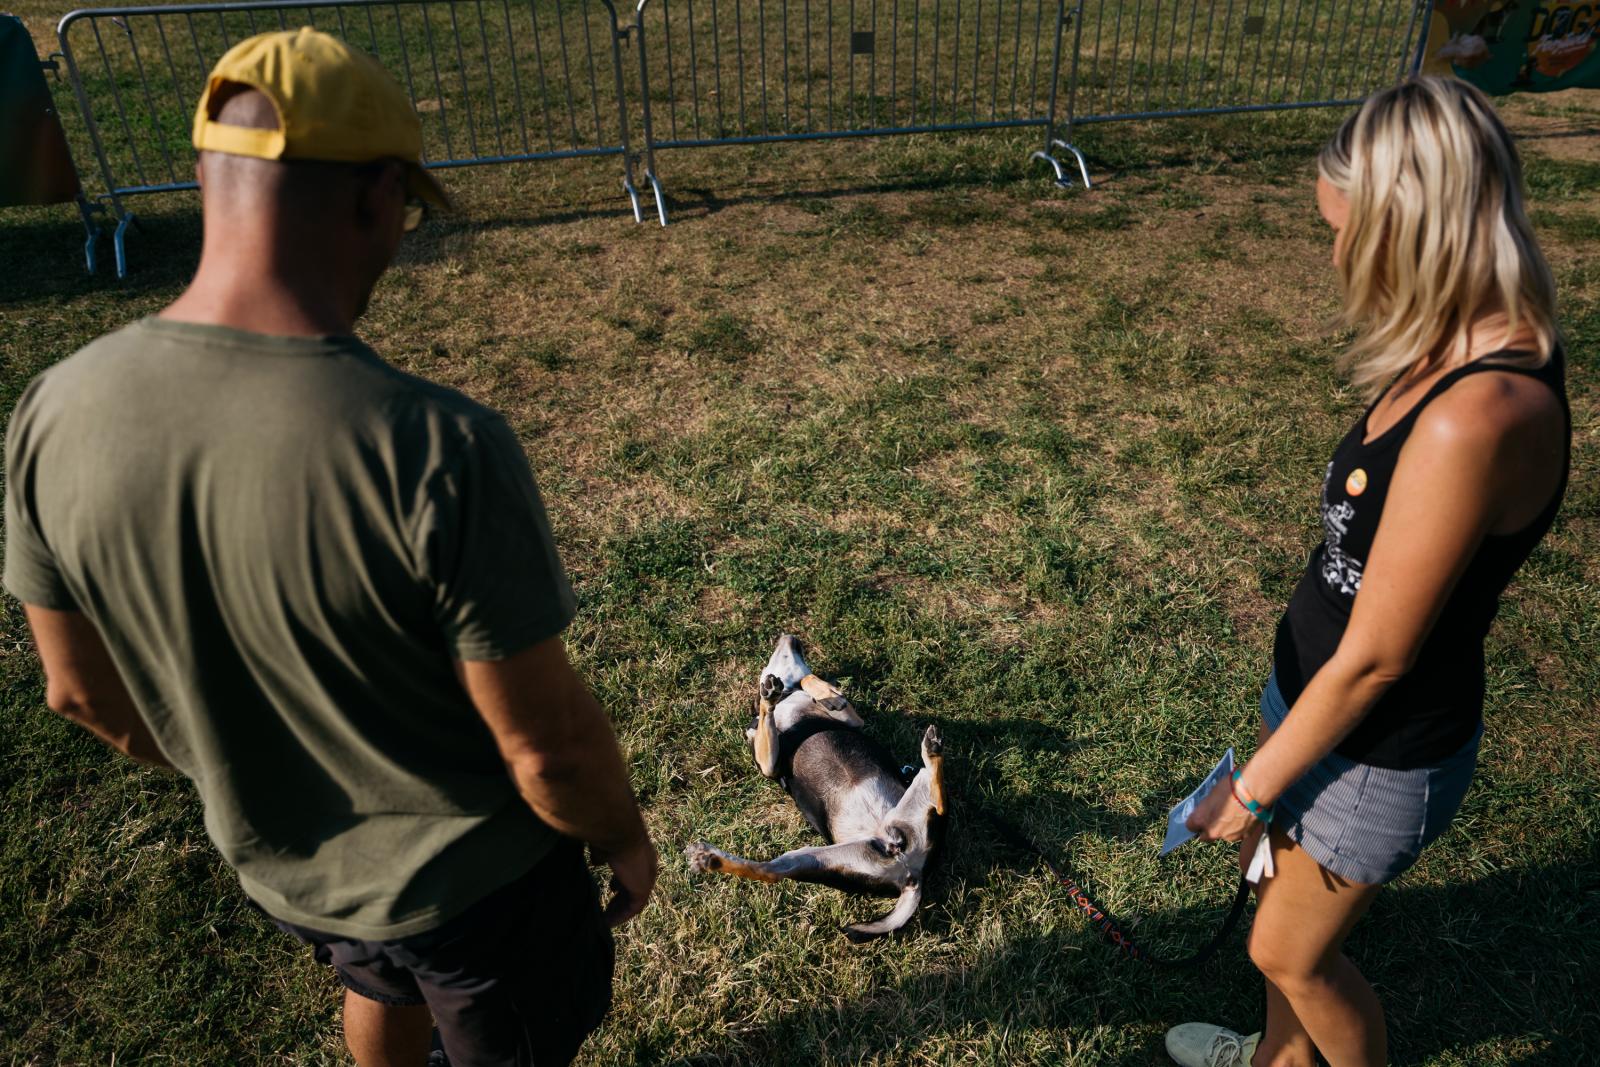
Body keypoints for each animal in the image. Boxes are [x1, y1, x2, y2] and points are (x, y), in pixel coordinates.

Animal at [685, 634, 947, 941]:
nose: (790, 637)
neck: (788, 698)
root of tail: (911, 873)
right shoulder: (769, 766)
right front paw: (774, 694)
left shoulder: (852, 720)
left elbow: (809, 679)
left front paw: (821, 691)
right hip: (815, 859)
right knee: (770, 872)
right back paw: (711, 860)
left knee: (939, 800)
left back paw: (932, 751)